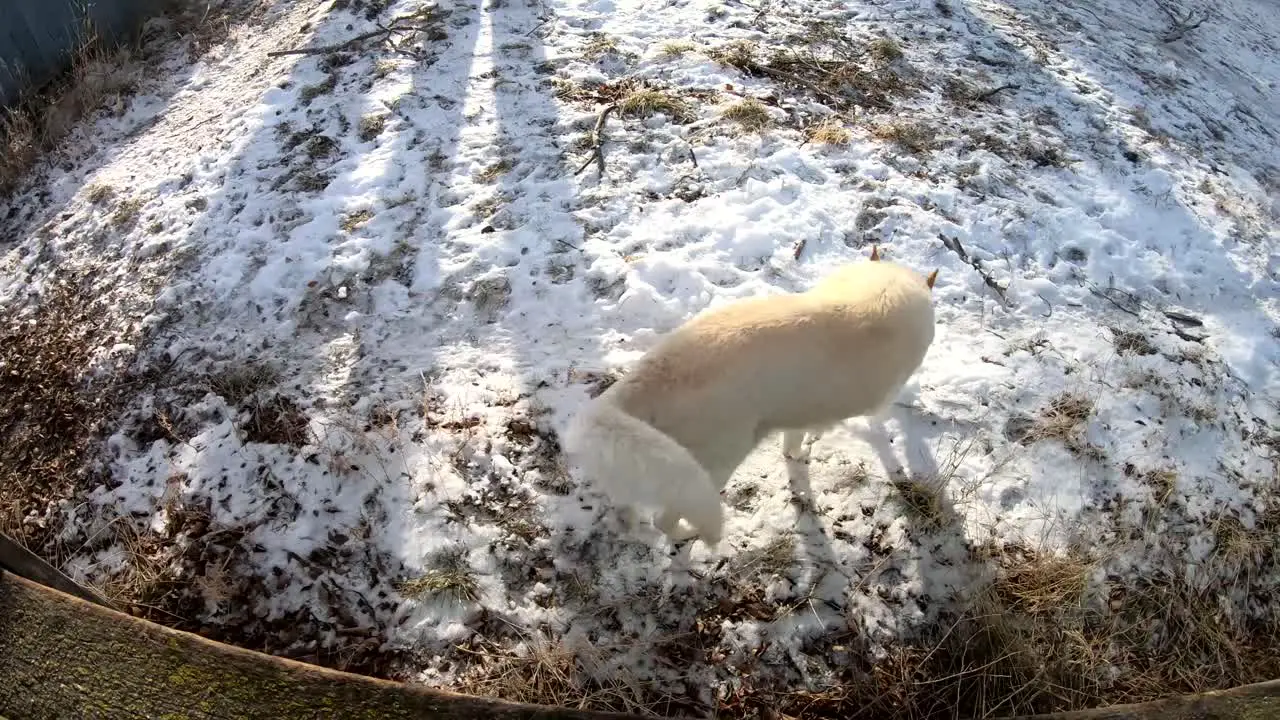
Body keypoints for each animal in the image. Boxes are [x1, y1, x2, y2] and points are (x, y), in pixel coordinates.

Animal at [565, 245, 936, 543]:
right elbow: (872, 424)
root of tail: (644, 376)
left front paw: (799, 453)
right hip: (717, 463)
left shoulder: (800, 410)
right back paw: (687, 536)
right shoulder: (877, 397)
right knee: (664, 520)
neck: (883, 286)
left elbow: (794, 443)